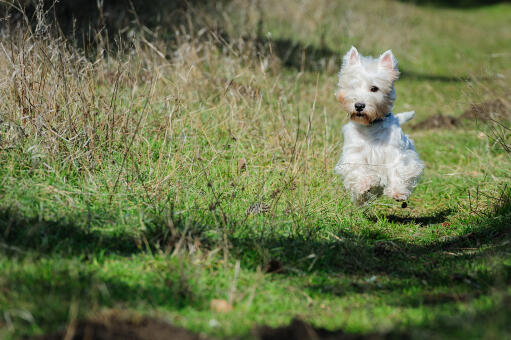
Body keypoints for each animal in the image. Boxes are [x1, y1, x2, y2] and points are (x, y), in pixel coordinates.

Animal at [336, 46, 424, 206]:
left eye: (374, 88)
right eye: (353, 86)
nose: (359, 106)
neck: (370, 126)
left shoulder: (396, 153)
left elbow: (397, 170)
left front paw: (397, 193)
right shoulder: (354, 153)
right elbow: (358, 169)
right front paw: (364, 184)